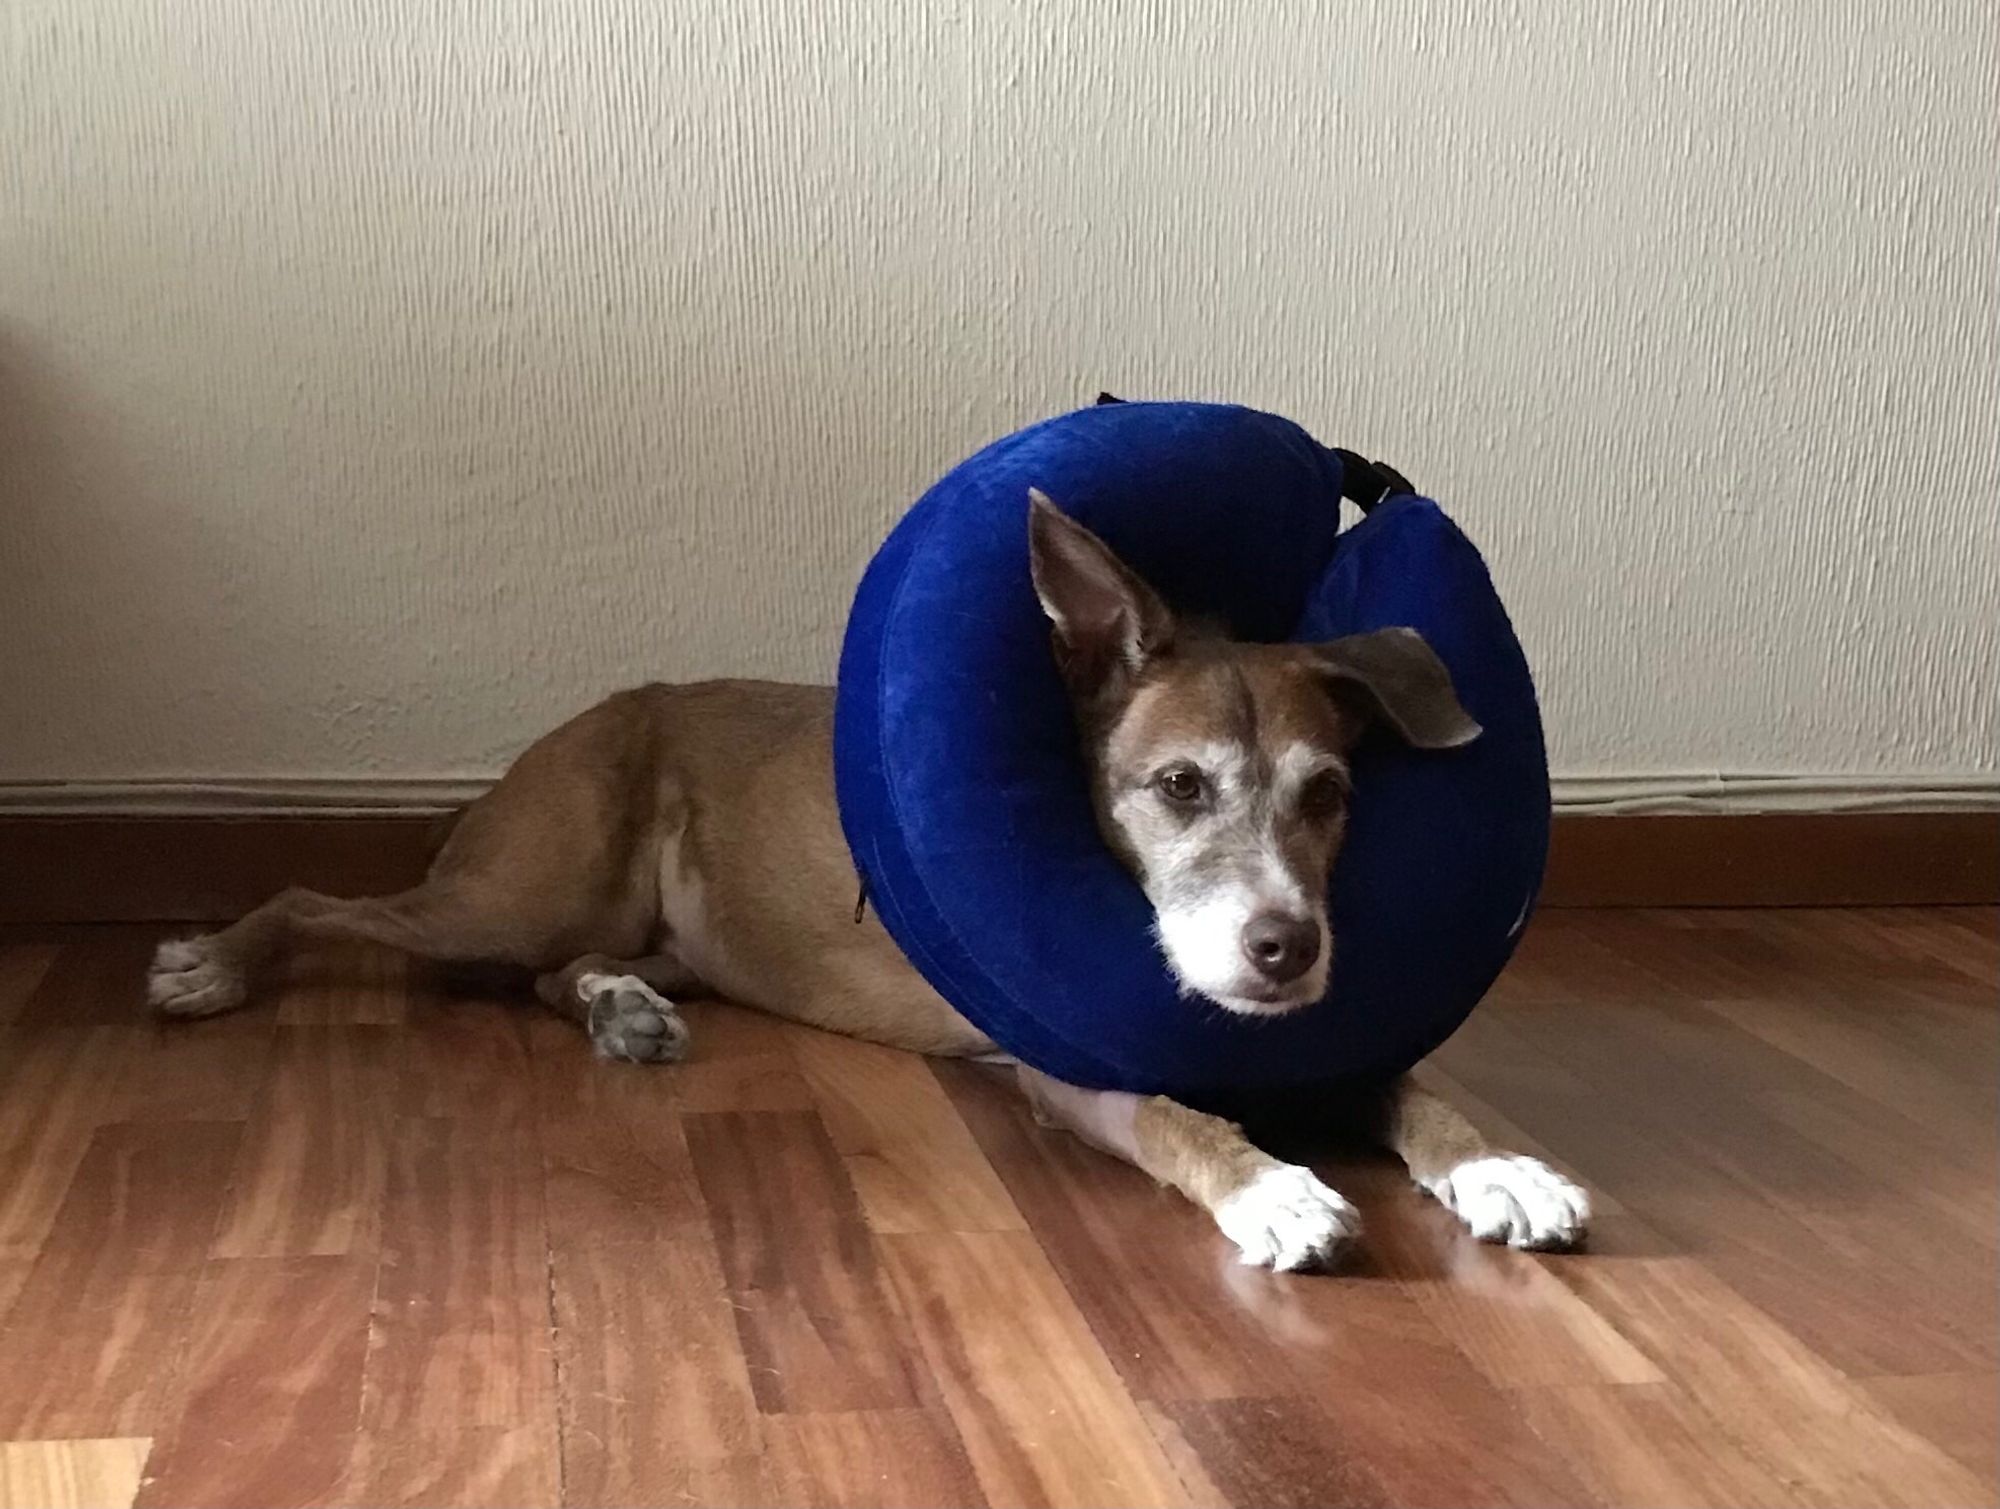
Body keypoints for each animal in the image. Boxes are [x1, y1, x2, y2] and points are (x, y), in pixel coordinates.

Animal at [152, 494, 1592, 1272]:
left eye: (1329, 794)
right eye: (1180, 786)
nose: (1286, 950)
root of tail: (575, 721)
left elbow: (1418, 1089)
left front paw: (1500, 1164)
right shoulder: (1065, 1070)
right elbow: (1181, 1119)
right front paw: (1276, 1189)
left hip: (646, 927)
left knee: (561, 975)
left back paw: (623, 1010)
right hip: (514, 886)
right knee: (326, 902)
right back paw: (211, 961)